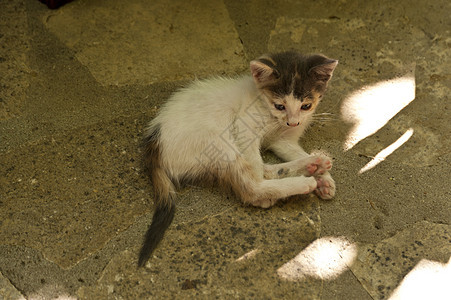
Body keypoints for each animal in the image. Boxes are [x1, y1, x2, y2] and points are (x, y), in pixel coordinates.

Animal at [139, 51, 338, 268]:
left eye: (306, 106)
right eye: (280, 105)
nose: (293, 122)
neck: (267, 110)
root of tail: (155, 145)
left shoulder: (283, 140)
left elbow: (293, 152)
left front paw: (325, 179)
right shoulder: (244, 128)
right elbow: (255, 168)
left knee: (264, 171)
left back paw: (313, 165)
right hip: (219, 141)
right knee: (251, 184)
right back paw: (296, 185)